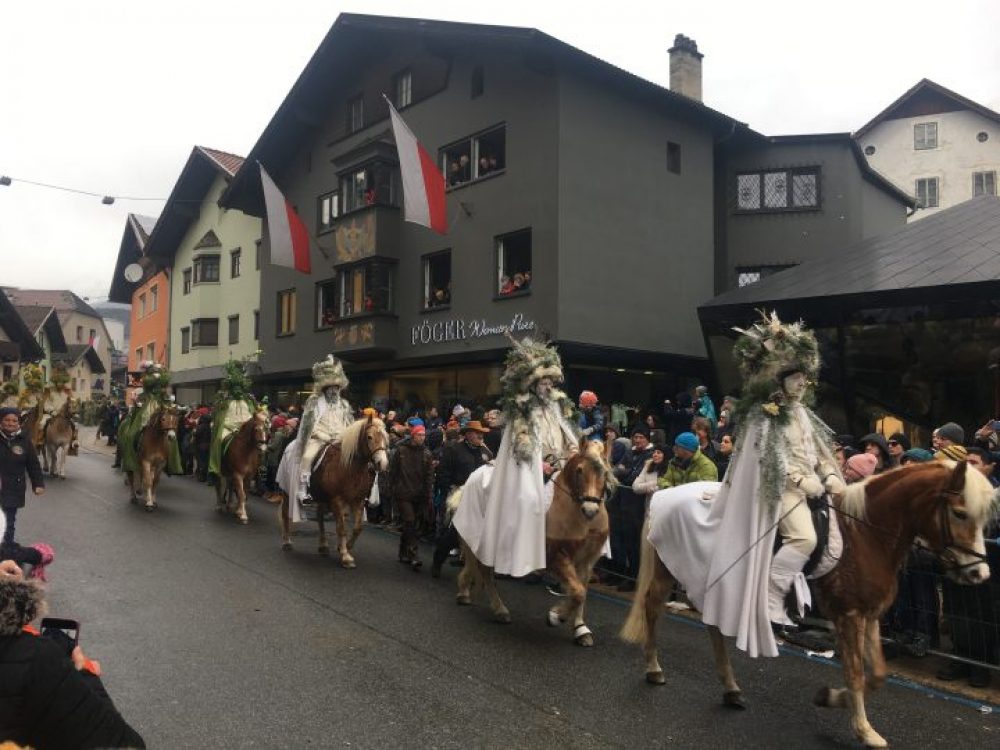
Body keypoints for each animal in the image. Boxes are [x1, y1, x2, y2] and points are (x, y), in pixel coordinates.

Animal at [282, 412, 394, 568]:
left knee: (320, 517)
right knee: (285, 513)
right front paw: (345, 556)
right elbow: (342, 528)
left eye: (385, 437)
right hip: (287, 491)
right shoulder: (337, 500)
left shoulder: (357, 501)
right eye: (369, 437)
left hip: (321, 497)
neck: (349, 468)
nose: (382, 463)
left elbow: (358, 528)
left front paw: (346, 547)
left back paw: (323, 545)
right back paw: (287, 541)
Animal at [456, 444, 612, 648]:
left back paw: (467, 593)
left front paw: (580, 629)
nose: (590, 510)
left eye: (605, 472)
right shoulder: (556, 556)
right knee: (485, 573)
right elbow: (578, 593)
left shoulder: (587, 560)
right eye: (579, 470)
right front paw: (555, 617)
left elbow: (582, 592)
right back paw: (500, 610)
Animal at [620, 462, 996, 748]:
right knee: (652, 608)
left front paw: (830, 697)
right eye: (960, 513)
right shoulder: (848, 615)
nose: (979, 573)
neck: (866, 536)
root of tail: (664, 493)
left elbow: (877, 675)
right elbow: (856, 674)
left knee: (713, 624)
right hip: (670, 569)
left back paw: (731, 689)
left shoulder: (870, 615)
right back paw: (654, 669)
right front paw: (864, 730)